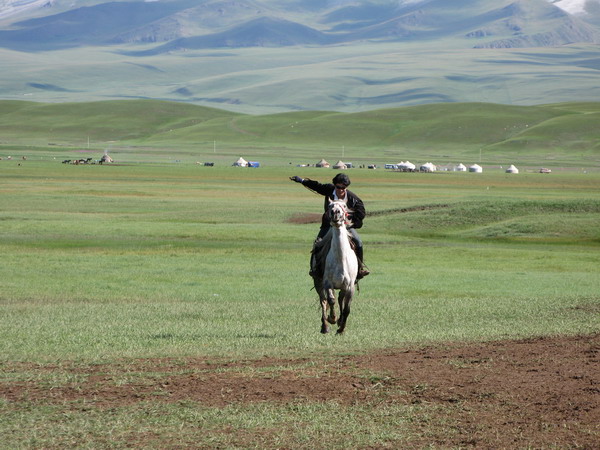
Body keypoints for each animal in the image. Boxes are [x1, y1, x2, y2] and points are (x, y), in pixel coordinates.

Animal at [312, 200, 358, 334]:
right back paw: (325, 327)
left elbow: (347, 309)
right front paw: (332, 318)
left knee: (340, 299)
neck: (340, 259)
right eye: (329, 206)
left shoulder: (350, 287)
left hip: (342, 287)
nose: (335, 213)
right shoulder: (328, 283)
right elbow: (330, 301)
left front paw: (341, 328)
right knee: (323, 301)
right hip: (318, 282)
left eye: (344, 206)